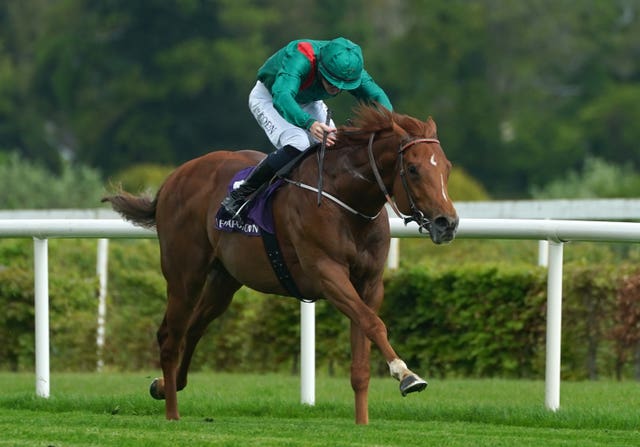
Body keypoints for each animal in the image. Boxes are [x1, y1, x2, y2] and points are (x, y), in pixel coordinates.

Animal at [102, 104, 458, 424]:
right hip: (184, 274)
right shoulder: (327, 273)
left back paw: (166, 385)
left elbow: (362, 351)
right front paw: (407, 375)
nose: (447, 223)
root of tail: (173, 178)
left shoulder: (369, 284)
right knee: (170, 336)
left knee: (194, 329)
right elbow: (374, 324)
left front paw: (363, 422)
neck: (346, 200)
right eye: (413, 169)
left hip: (223, 281)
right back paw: (172, 413)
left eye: (447, 168)